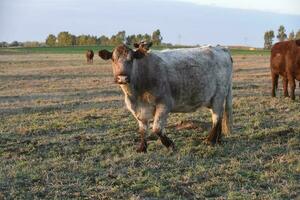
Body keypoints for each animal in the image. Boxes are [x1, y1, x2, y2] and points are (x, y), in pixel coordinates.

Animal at [98, 43, 232, 152]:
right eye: (113, 59)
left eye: (131, 60)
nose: (122, 78)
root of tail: (221, 48)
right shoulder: (137, 110)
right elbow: (143, 129)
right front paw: (142, 148)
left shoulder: (164, 104)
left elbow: (157, 128)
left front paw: (170, 144)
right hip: (211, 98)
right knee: (218, 116)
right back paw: (217, 140)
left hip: (219, 95)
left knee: (217, 117)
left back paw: (210, 140)